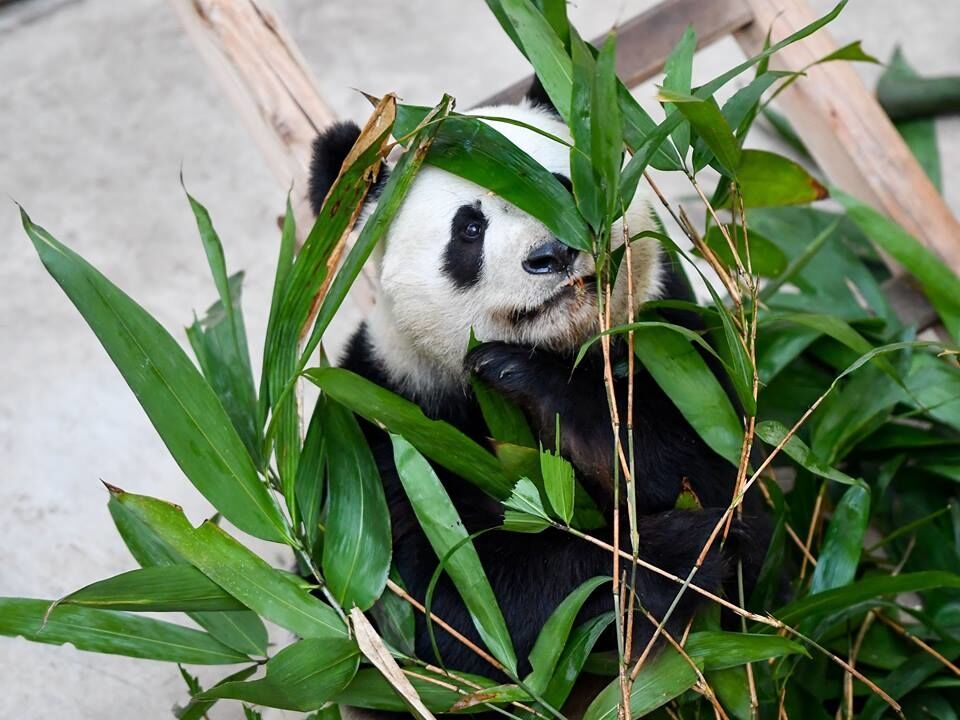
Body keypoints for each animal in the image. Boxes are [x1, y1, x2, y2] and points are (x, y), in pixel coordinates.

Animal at [310, 86, 772, 688]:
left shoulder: (679, 346)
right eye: (470, 229)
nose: (552, 254)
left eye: (563, 184)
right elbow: (450, 607)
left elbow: (725, 474)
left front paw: (529, 379)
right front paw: (677, 555)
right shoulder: (383, 423)